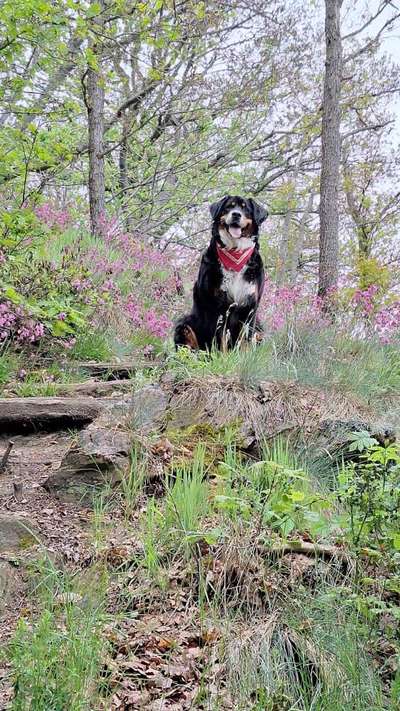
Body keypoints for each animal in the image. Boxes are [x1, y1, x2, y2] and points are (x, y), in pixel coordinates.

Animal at [173, 195, 268, 350]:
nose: (236, 214)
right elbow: (219, 340)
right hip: (185, 324)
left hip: (260, 329)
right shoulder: (216, 306)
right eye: (229, 206)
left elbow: (245, 340)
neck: (234, 252)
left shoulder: (250, 307)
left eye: (245, 209)